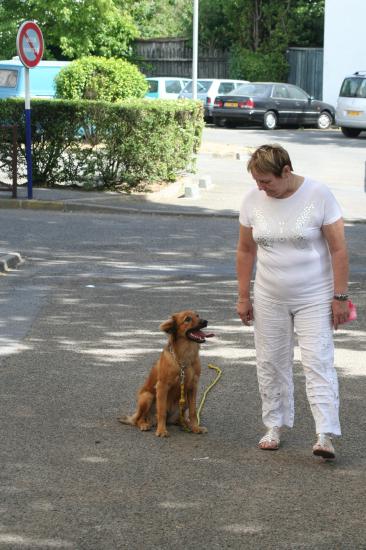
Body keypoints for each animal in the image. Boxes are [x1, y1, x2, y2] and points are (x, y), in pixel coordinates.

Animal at [117, 310, 214, 440]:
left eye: (197, 315)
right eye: (187, 319)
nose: (205, 321)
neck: (185, 357)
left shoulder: (193, 387)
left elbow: (193, 412)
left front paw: (196, 427)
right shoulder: (162, 387)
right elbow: (162, 411)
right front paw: (162, 430)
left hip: (184, 401)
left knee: (179, 419)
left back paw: (186, 424)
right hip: (147, 396)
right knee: (139, 419)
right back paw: (144, 424)